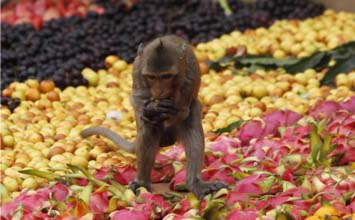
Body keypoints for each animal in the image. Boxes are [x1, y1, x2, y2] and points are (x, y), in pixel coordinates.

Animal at [81, 34, 228, 199]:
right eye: (151, 77)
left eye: (167, 77)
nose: (158, 91)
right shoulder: (137, 69)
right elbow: (136, 98)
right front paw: (150, 109)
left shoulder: (190, 75)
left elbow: (183, 111)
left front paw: (167, 109)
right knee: (148, 129)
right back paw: (142, 182)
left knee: (192, 121)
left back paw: (195, 183)